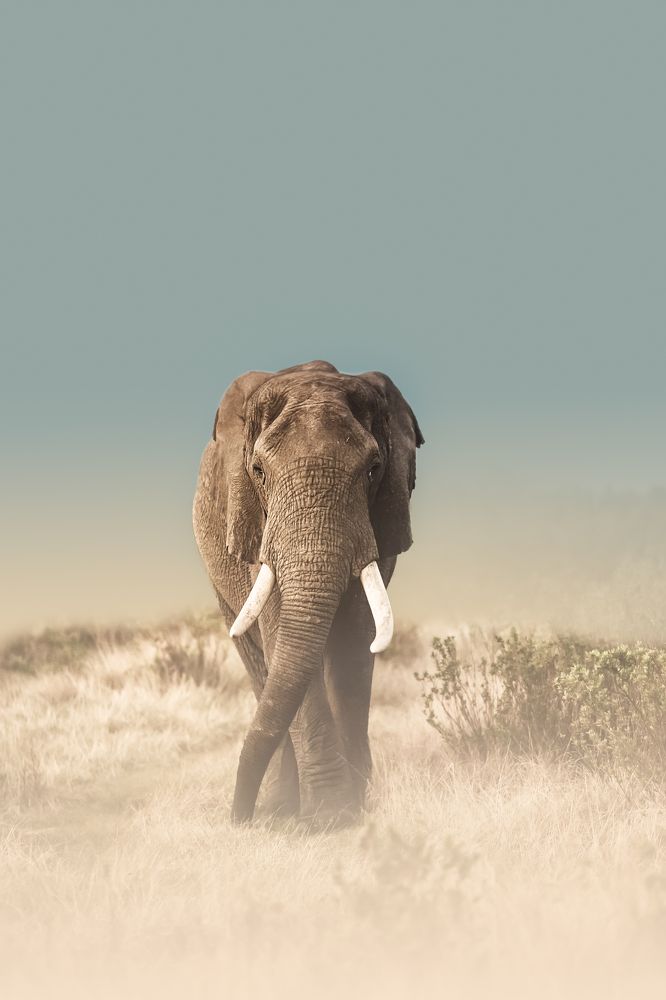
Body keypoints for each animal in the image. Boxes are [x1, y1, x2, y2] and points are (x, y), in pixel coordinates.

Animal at [192, 360, 423, 825]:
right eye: (258, 471)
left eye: (373, 469)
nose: (237, 818)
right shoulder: (256, 524)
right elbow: (280, 629)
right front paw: (330, 815)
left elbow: (356, 640)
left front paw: (350, 808)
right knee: (259, 663)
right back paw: (281, 803)